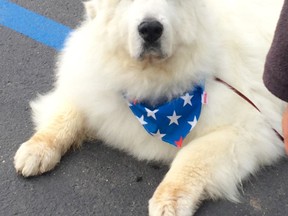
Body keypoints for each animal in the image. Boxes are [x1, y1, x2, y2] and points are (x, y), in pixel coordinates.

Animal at [14, 0, 286, 215]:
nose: (151, 29)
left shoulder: (248, 128)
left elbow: (191, 158)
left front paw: (169, 200)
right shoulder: (92, 86)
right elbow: (65, 117)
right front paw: (36, 149)